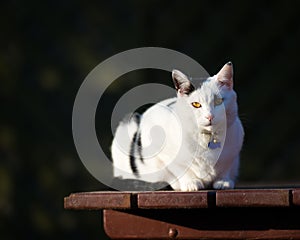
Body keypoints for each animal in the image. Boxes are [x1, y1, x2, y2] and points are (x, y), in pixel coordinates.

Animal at [110, 62, 244, 191]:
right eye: (196, 104)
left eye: (218, 102)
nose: (209, 116)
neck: (207, 139)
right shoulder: (165, 154)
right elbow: (179, 169)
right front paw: (190, 182)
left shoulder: (233, 155)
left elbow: (226, 168)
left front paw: (223, 181)